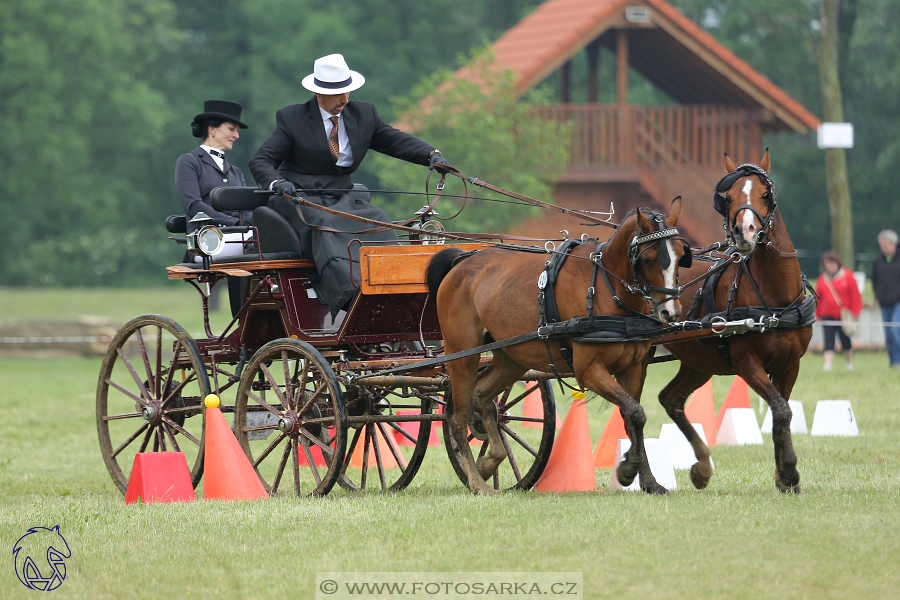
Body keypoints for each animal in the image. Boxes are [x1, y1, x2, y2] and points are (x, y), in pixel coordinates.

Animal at [428, 199, 688, 494]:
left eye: (681, 254)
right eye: (647, 258)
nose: (670, 311)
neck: (605, 287)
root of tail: (462, 261)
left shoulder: (634, 368)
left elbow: (633, 417)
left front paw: (648, 481)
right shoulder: (588, 370)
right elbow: (634, 412)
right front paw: (626, 471)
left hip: (512, 358)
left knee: (483, 396)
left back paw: (490, 461)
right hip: (462, 355)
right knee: (457, 418)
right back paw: (476, 481)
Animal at [660, 151, 816, 492]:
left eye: (766, 194)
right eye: (728, 197)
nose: (745, 232)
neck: (774, 298)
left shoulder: (791, 364)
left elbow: (781, 413)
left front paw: (783, 478)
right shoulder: (746, 362)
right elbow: (781, 409)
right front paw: (789, 471)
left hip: (697, 360)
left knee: (670, 399)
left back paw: (701, 467)